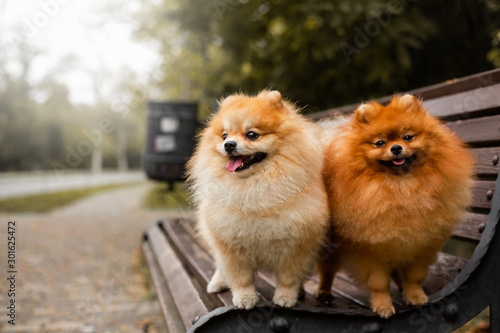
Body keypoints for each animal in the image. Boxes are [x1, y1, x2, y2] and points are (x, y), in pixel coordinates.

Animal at [186, 89, 330, 308]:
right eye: (224, 135)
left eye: (252, 135)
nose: (228, 145)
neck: (254, 187)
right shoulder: (230, 243)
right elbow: (240, 277)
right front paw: (245, 298)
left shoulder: (298, 246)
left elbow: (289, 278)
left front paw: (285, 298)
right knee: (219, 264)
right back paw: (217, 282)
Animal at [314, 93, 474, 316]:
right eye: (380, 143)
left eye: (407, 137)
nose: (396, 147)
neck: (401, 187)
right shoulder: (372, 251)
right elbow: (379, 283)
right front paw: (383, 306)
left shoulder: (420, 245)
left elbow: (413, 277)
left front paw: (416, 296)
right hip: (330, 246)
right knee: (327, 270)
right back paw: (324, 291)